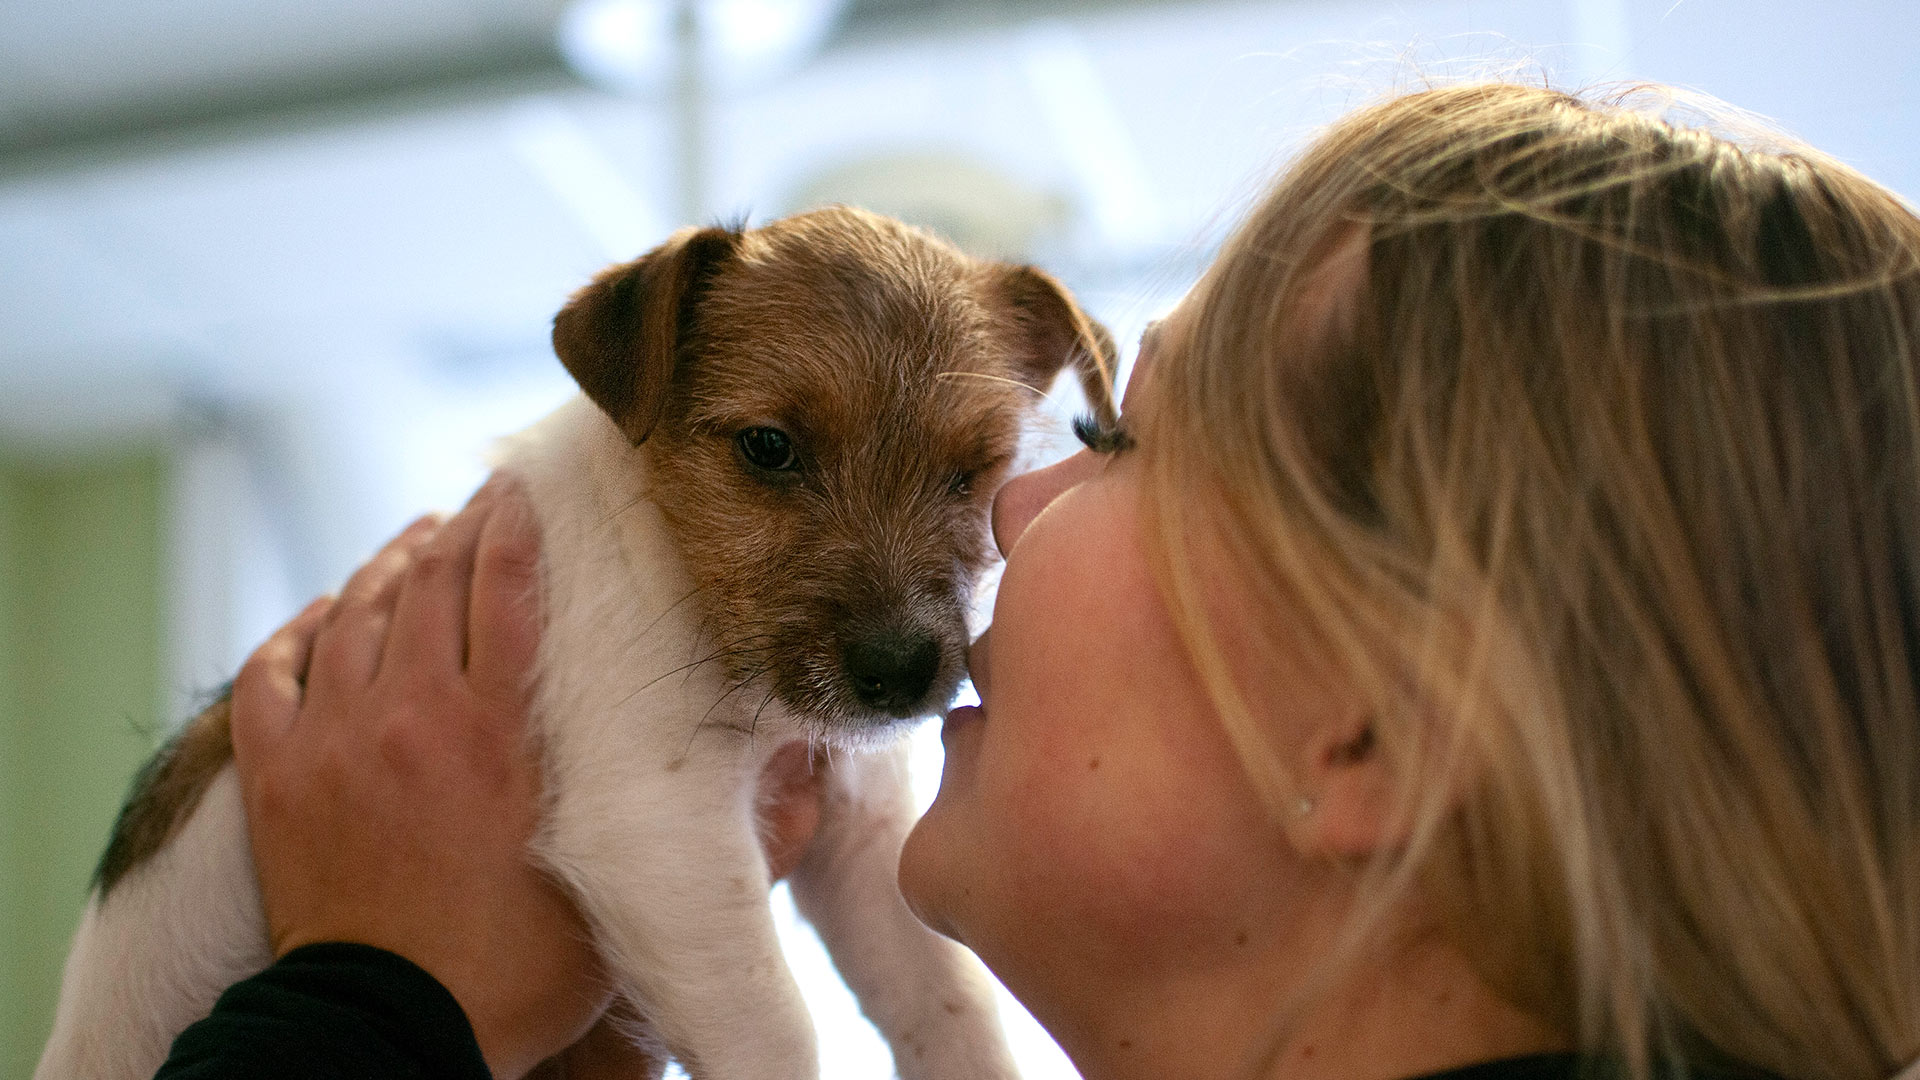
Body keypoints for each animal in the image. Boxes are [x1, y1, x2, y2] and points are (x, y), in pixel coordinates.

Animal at [37, 203, 1121, 1076]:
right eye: (768, 448)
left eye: (972, 473)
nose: (901, 676)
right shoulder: (655, 826)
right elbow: (777, 1029)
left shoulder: (861, 830)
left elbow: (949, 1002)